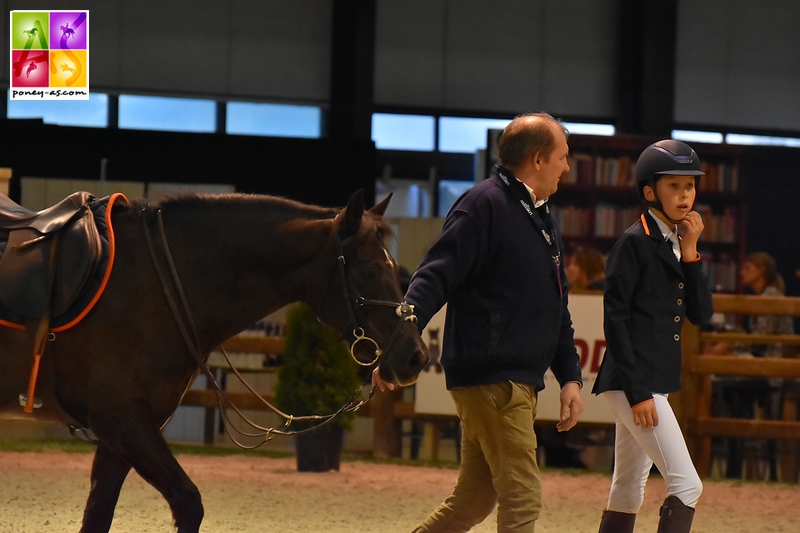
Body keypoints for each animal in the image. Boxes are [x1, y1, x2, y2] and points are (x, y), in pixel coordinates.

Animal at [0, 189, 428, 528]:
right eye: (369, 271)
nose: (416, 357)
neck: (152, 281)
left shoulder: (120, 436)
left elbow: (98, 514)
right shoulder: (122, 422)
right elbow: (189, 502)